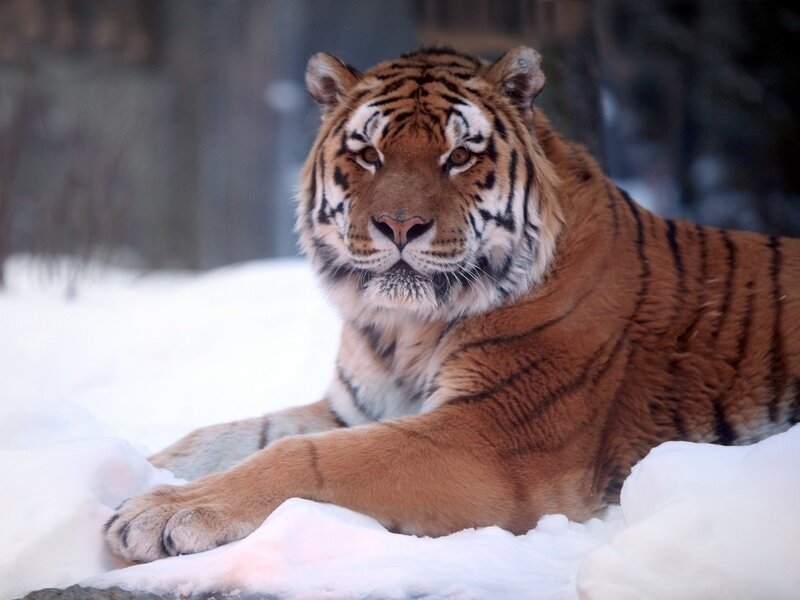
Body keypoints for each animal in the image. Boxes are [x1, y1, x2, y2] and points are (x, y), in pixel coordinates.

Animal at [105, 46, 800, 563]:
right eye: (368, 153)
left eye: (460, 155)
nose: (399, 225)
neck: (402, 330)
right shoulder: (356, 407)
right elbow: (220, 438)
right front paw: (136, 475)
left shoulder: (491, 436)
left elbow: (305, 457)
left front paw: (159, 514)